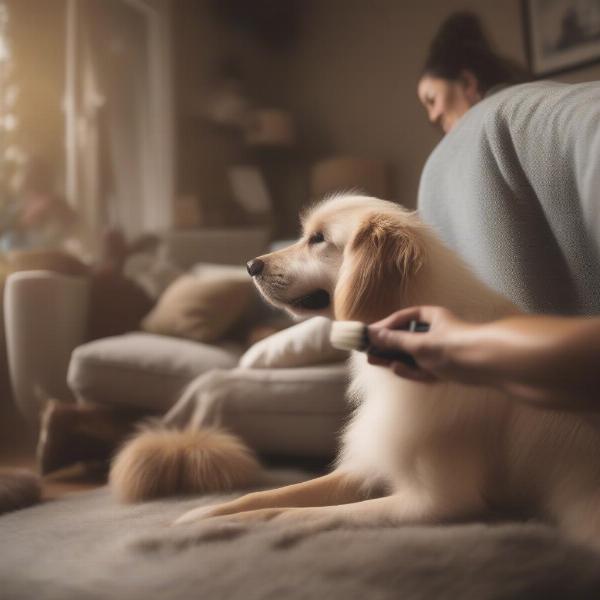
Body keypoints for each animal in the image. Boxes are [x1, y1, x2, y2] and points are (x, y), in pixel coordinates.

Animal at [169, 195, 600, 552]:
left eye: (318, 239)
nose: (250, 265)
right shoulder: (367, 466)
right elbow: (269, 495)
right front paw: (200, 514)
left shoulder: (436, 502)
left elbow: (285, 514)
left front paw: (226, 527)